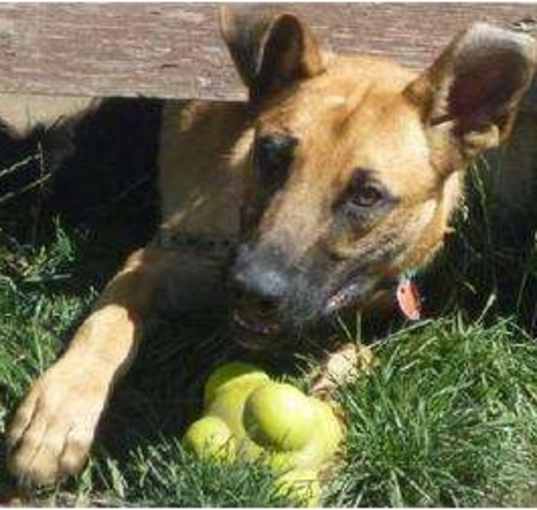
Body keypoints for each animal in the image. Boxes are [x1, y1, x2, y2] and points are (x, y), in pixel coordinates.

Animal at [5, 7, 536, 486]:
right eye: (271, 154)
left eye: (367, 195)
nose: (248, 290)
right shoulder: (159, 260)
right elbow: (107, 324)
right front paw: (58, 414)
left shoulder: (409, 308)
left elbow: (367, 352)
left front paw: (335, 383)